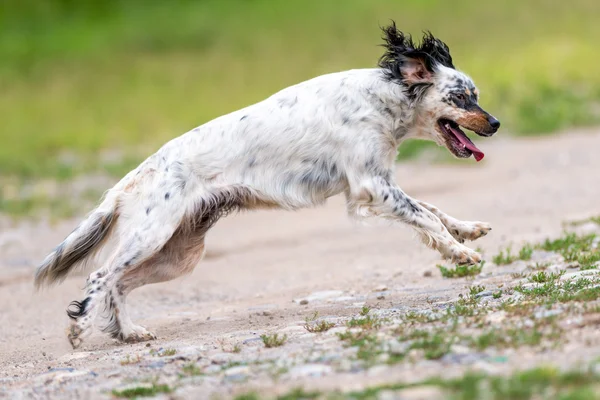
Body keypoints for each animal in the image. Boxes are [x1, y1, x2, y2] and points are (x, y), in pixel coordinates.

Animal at [35, 21, 500, 348]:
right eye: (462, 97)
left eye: (475, 94)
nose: (495, 123)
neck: (381, 97)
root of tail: (131, 179)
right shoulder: (372, 187)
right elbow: (426, 217)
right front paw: (459, 253)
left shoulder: (380, 185)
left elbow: (434, 212)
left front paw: (466, 231)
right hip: (151, 235)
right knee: (100, 277)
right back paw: (79, 332)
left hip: (177, 254)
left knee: (118, 284)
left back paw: (129, 333)